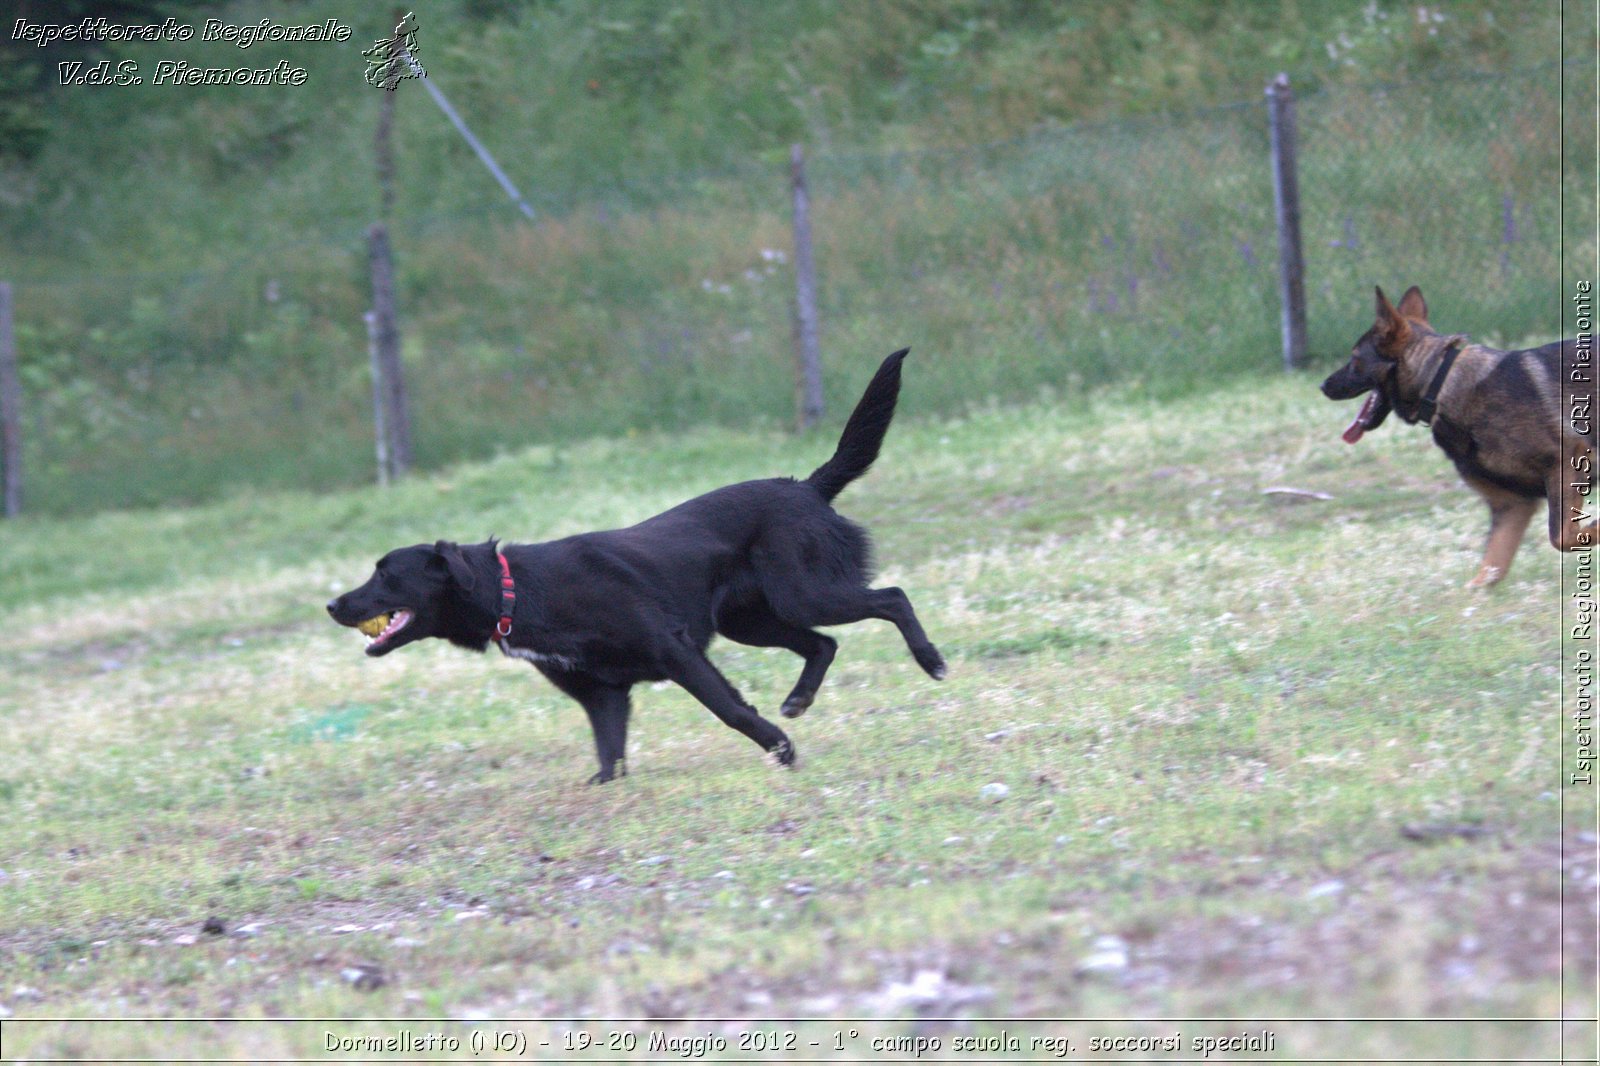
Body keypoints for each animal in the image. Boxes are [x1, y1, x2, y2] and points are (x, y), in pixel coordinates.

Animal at [329, 348, 940, 781]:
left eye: (385, 573)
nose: (332, 604)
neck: (515, 590)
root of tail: (808, 487)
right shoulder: (602, 694)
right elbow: (609, 757)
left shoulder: (676, 651)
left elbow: (732, 711)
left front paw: (782, 753)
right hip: (748, 621)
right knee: (823, 644)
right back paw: (799, 698)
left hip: (802, 593)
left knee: (892, 598)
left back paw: (930, 660)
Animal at [1318, 286, 1593, 585]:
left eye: (1355, 359)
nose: (1322, 386)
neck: (1439, 385)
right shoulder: (1513, 505)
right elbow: (1486, 572)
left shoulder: (1565, 461)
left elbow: (1562, 536)